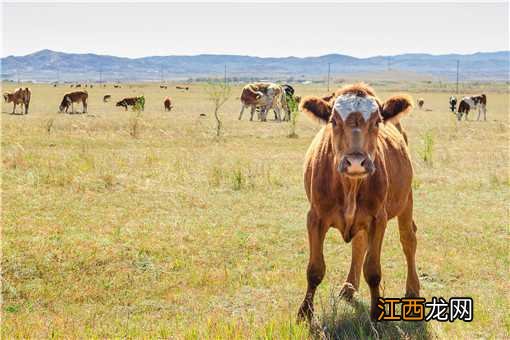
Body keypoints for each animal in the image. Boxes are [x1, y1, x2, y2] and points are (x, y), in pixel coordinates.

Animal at [294, 83, 418, 322]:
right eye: (333, 121)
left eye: (377, 121)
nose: (355, 162)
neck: (349, 186)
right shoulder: (314, 217)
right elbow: (314, 269)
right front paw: (305, 312)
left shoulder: (378, 218)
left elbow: (373, 270)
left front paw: (376, 312)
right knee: (359, 244)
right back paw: (349, 287)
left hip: (406, 199)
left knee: (408, 240)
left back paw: (413, 289)